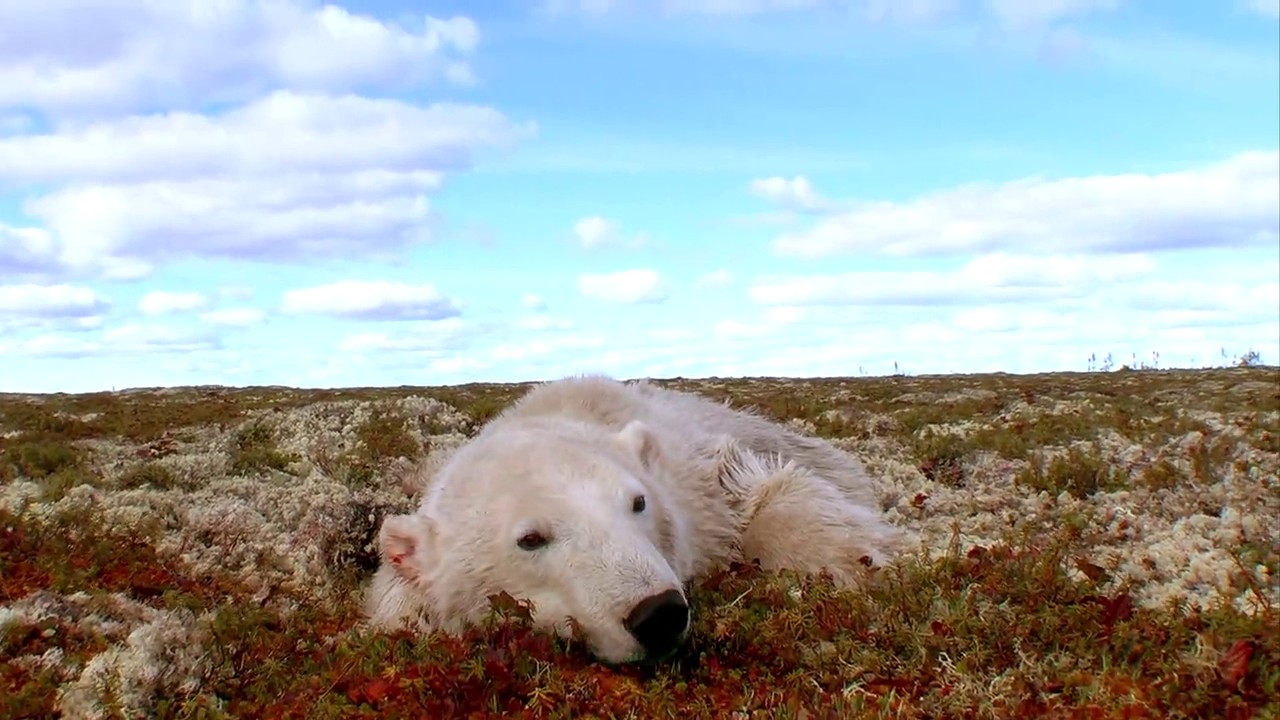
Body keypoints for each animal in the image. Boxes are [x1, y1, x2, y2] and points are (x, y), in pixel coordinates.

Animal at [363, 375, 906, 664]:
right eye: (531, 538)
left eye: (637, 503)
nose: (658, 612)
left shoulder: (697, 477)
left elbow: (760, 491)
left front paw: (871, 559)